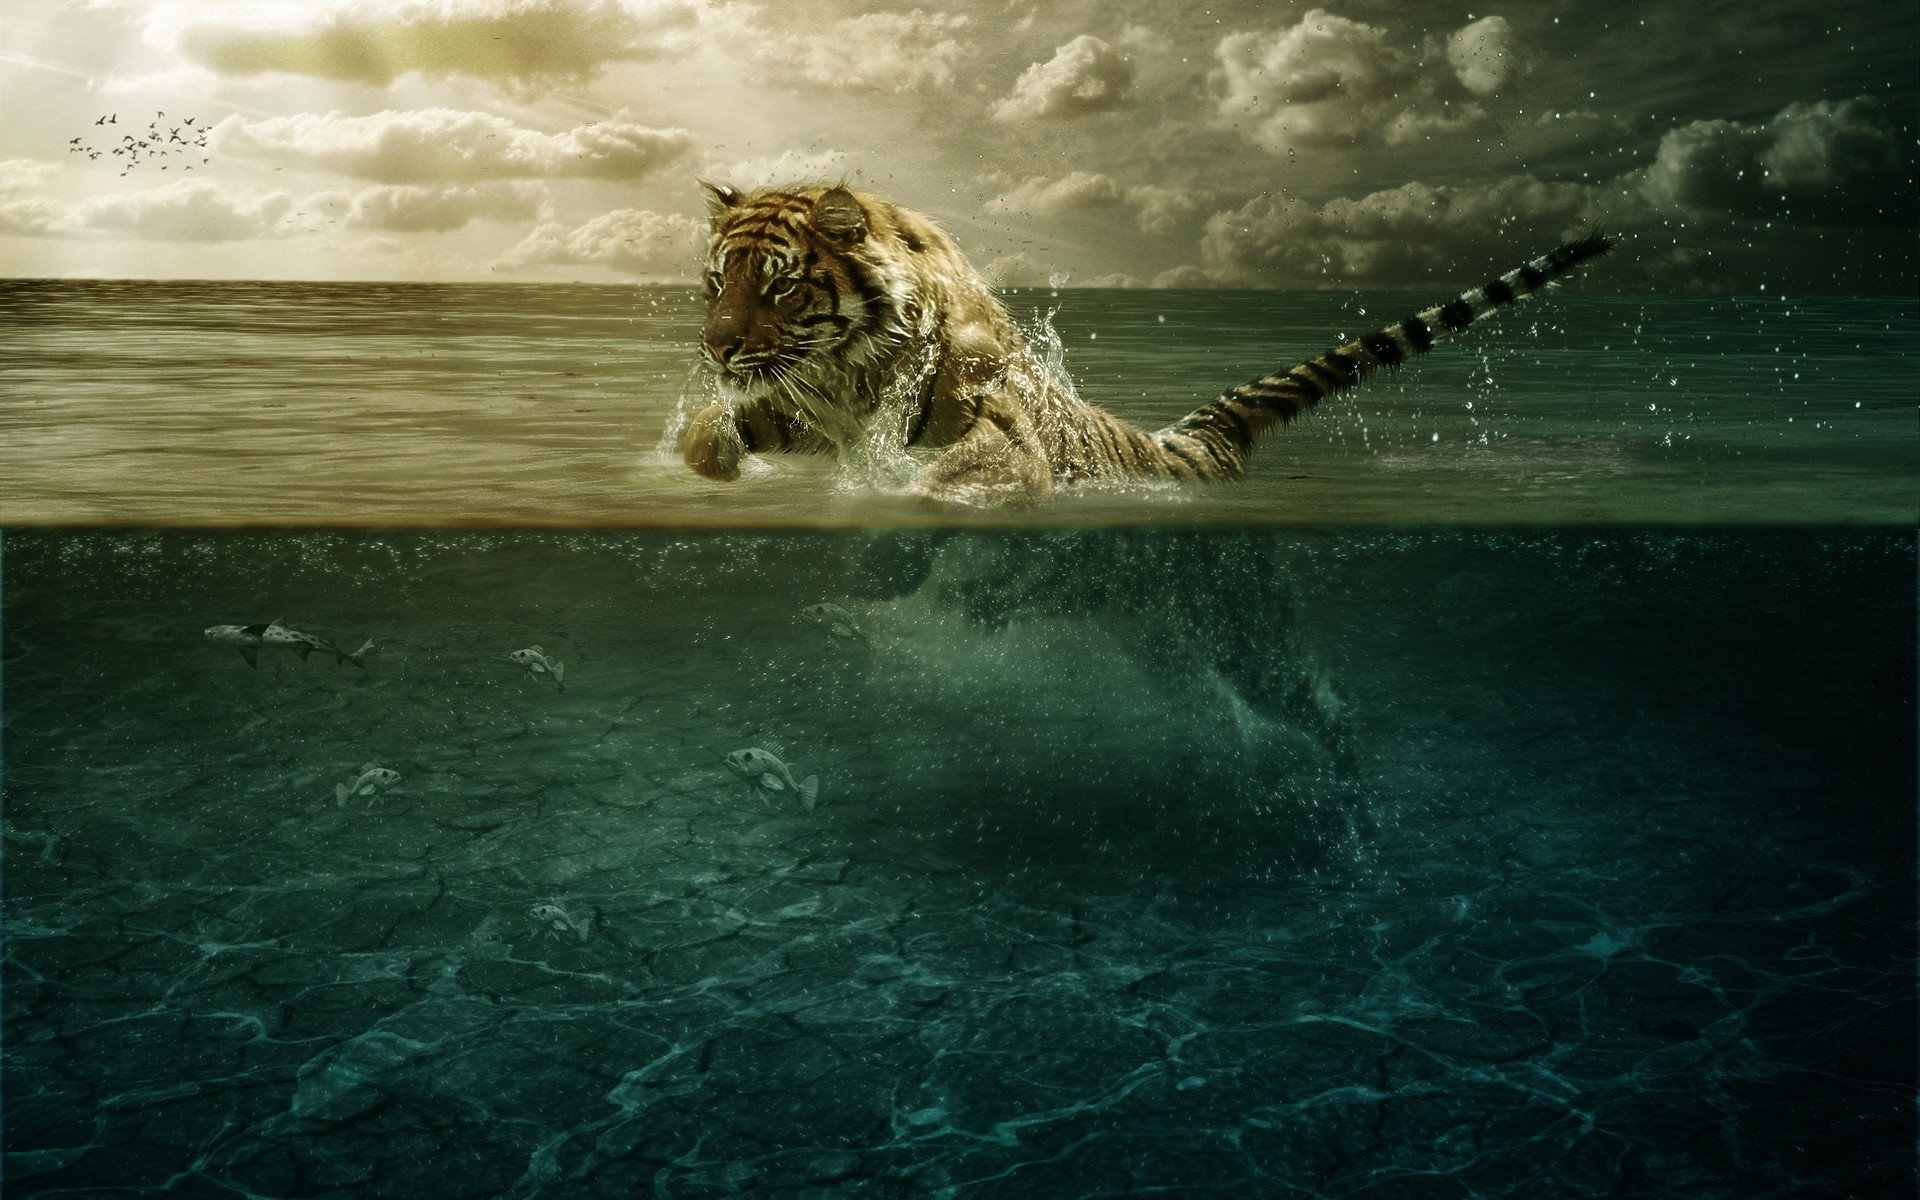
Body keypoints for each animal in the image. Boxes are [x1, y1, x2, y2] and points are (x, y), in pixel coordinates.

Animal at [682, 181, 1612, 505]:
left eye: (781, 286)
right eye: (717, 282)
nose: (718, 350)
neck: (848, 375)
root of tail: (1190, 442)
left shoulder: (998, 426)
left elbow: (956, 475)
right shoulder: (799, 408)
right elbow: (710, 435)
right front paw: (713, 464)